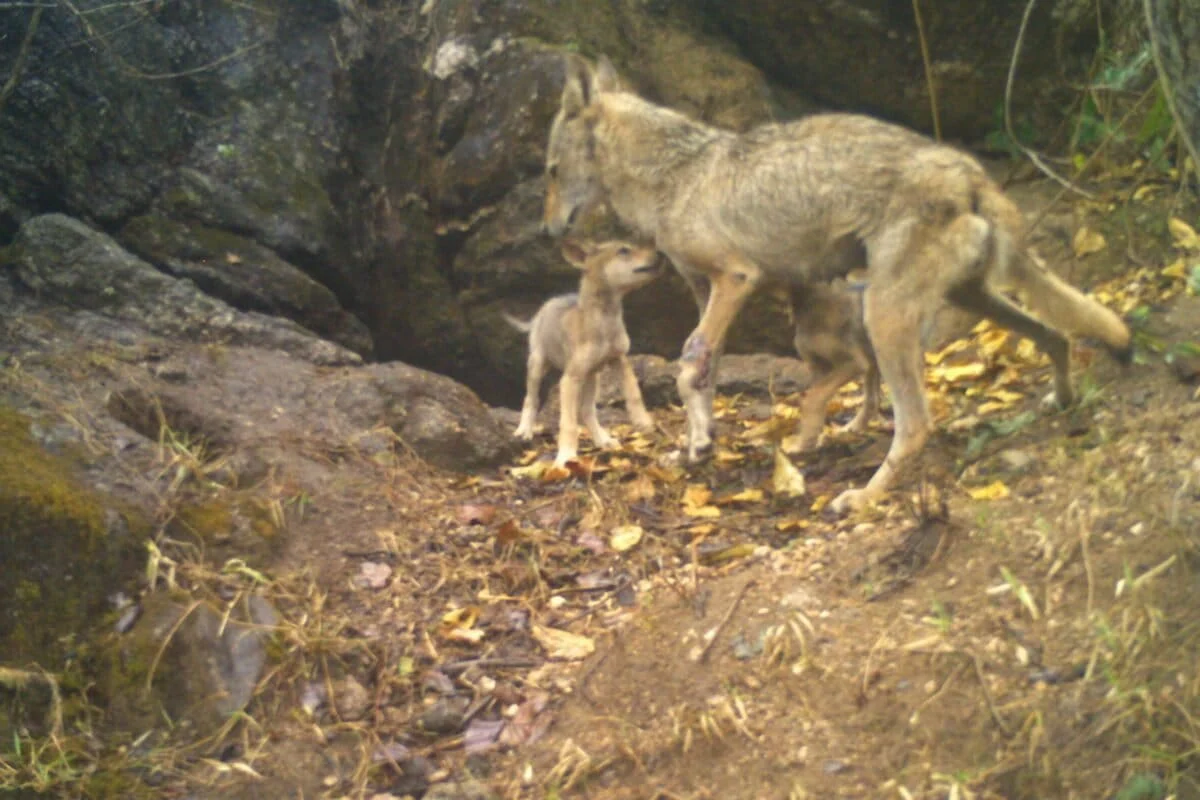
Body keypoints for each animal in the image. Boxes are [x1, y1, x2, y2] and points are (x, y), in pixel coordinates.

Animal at [506, 238, 662, 466]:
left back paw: (603, 440)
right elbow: (568, 422)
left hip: (592, 376)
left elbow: (634, 392)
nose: (661, 253)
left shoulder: (620, 359)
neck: (605, 320)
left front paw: (642, 421)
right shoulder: (570, 379)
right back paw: (524, 430)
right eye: (624, 250)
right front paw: (566, 456)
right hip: (537, 364)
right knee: (531, 399)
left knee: (587, 411)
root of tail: (546, 305)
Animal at [542, 54, 1132, 513]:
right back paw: (1063, 402)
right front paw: (695, 445)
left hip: (887, 317)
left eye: (548, 170)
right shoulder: (706, 290)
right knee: (1060, 334)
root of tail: (969, 172)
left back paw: (864, 497)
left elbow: (690, 366)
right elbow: (702, 372)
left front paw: (703, 444)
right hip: (975, 297)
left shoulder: (736, 279)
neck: (675, 177)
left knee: (916, 424)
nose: (547, 230)